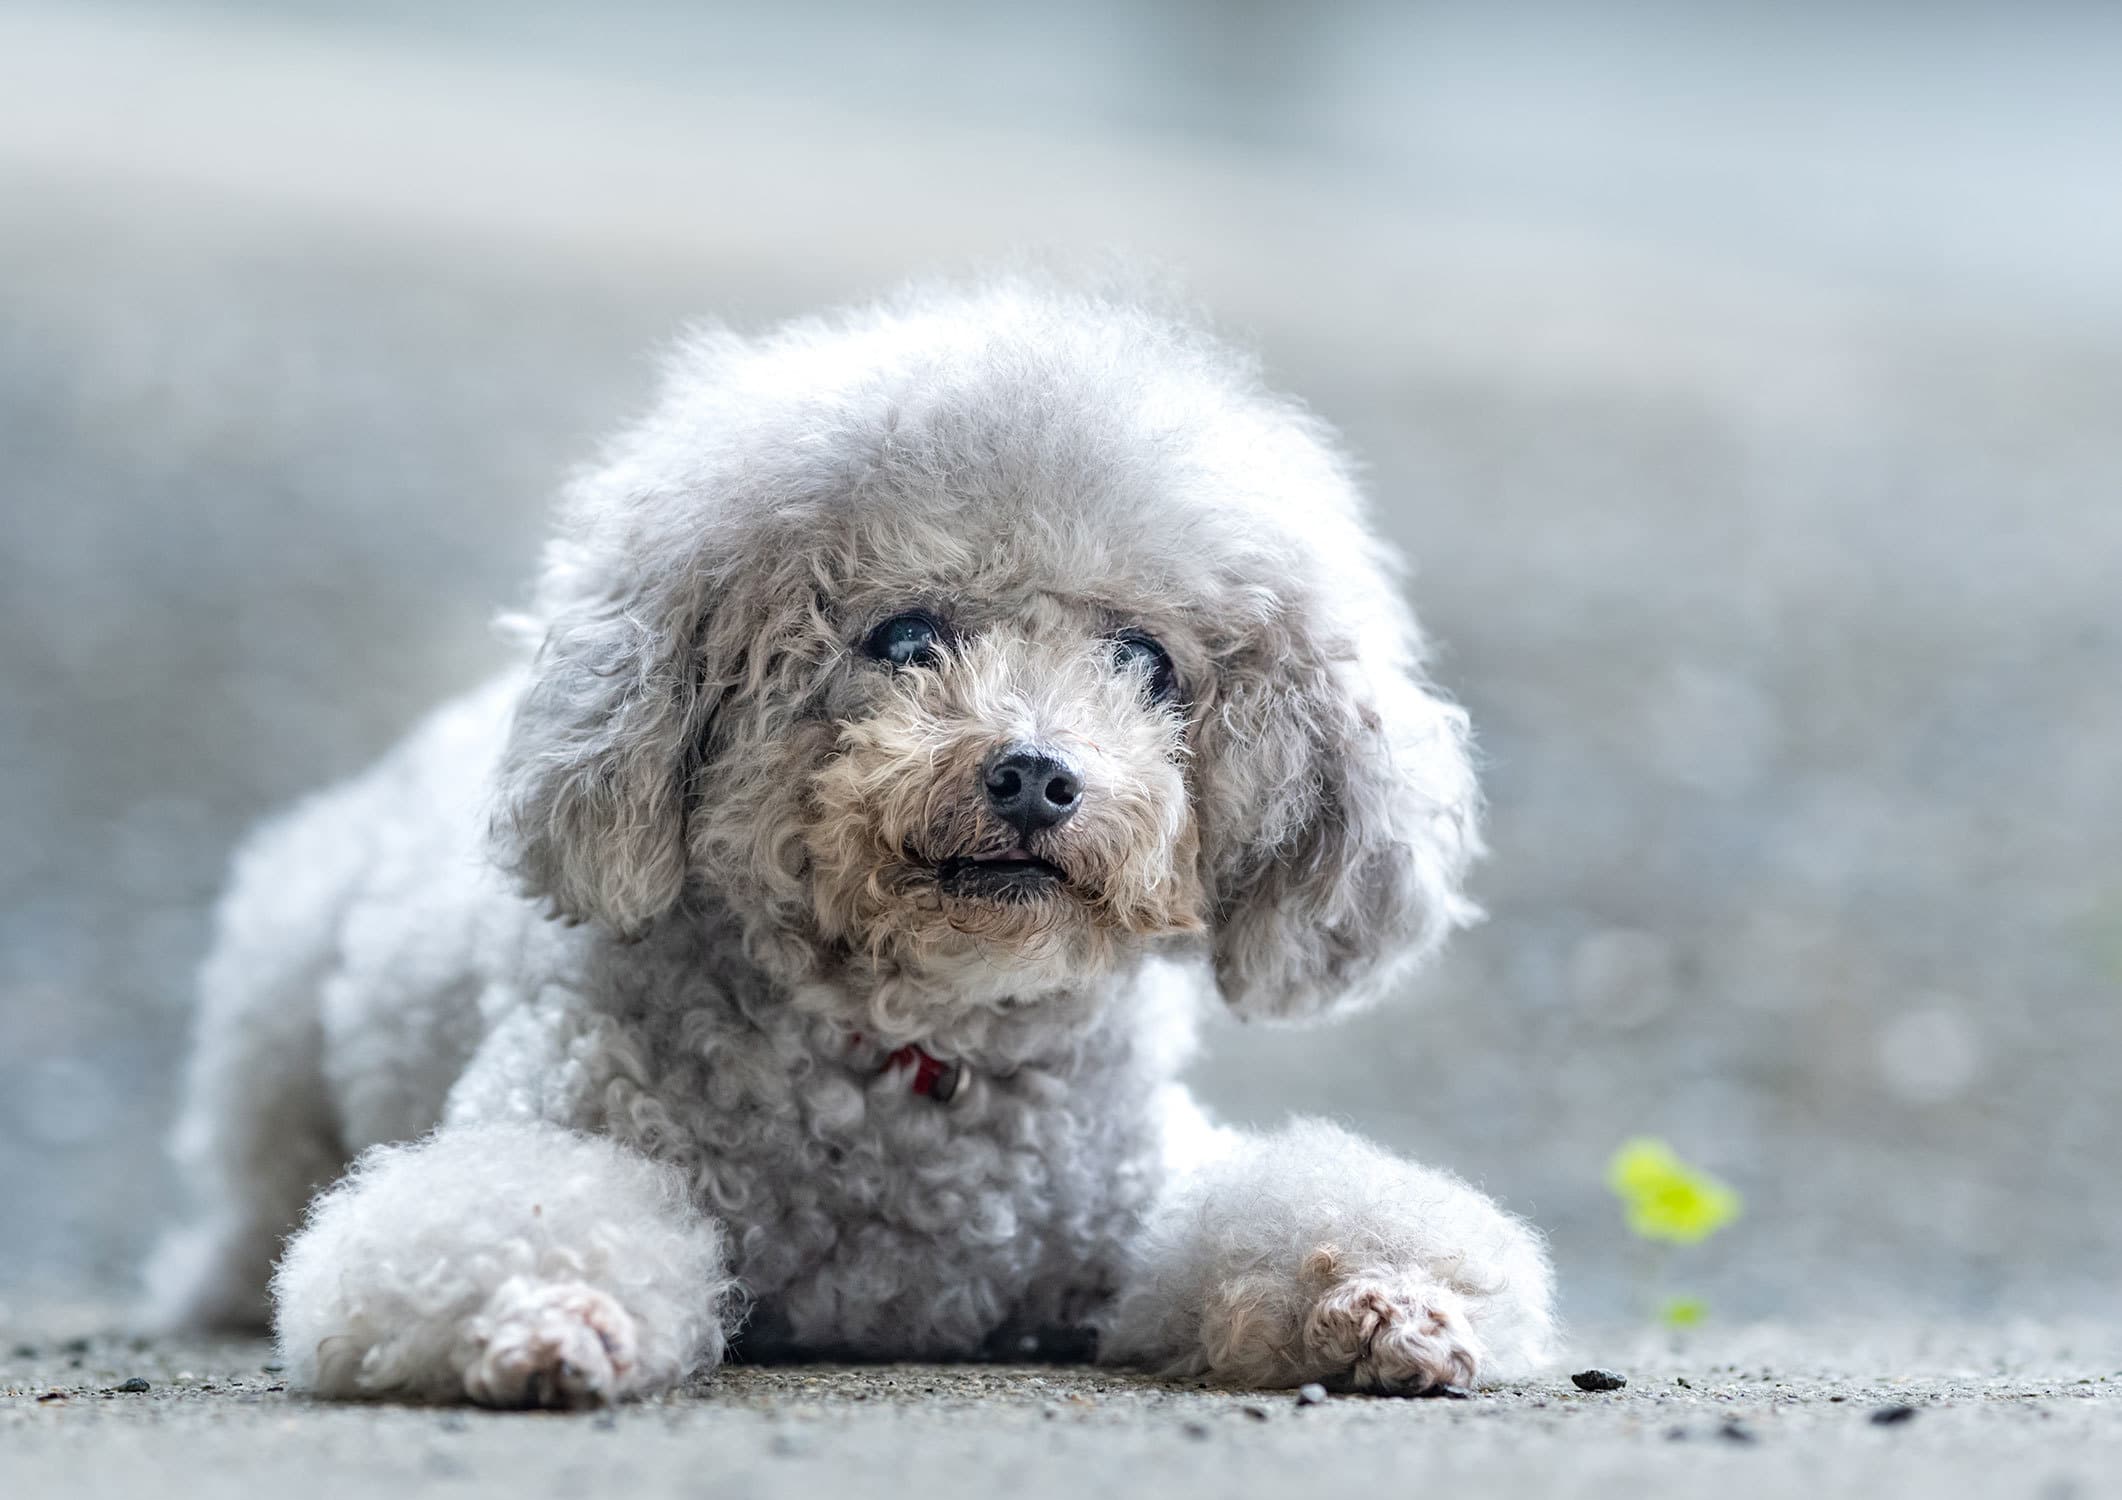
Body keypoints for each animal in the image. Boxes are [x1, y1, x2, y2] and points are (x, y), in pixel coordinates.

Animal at [147, 277, 1555, 1405]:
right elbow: (510, 1217)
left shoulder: (1130, 1198)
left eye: (1145, 659)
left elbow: (1283, 1215)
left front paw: (1383, 1300)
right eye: (904, 637)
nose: (1035, 775)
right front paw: (545, 1312)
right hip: (273, 1011)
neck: (919, 1049)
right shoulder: (553, 1122)